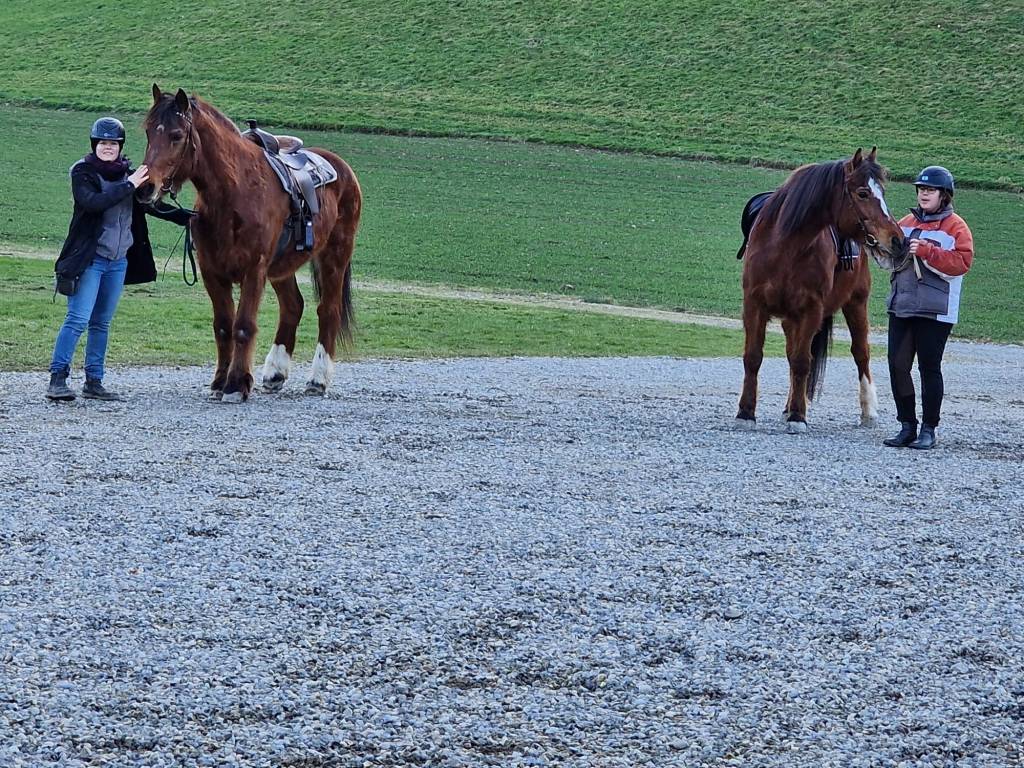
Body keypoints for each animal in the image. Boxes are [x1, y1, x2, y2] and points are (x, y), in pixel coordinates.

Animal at [136, 86, 362, 402]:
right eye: (148, 131)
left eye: (176, 135)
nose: (146, 187)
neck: (235, 193)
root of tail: (342, 168)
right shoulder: (212, 271)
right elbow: (223, 326)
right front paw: (220, 382)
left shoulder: (254, 270)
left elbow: (243, 326)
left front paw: (236, 384)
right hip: (282, 268)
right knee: (293, 307)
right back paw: (275, 373)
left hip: (335, 256)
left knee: (328, 311)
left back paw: (318, 379)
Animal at [736, 147, 906, 433]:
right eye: (863, 193)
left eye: (882, 191)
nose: (898, 240)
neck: (785, 247)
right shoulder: (754, 305)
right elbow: (753, 357)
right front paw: (746, 413)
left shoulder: (812, 309)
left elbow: (803, 361)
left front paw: (798, 416)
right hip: (791, 319)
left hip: (856, 303)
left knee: (860, 353)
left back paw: (868, 411)